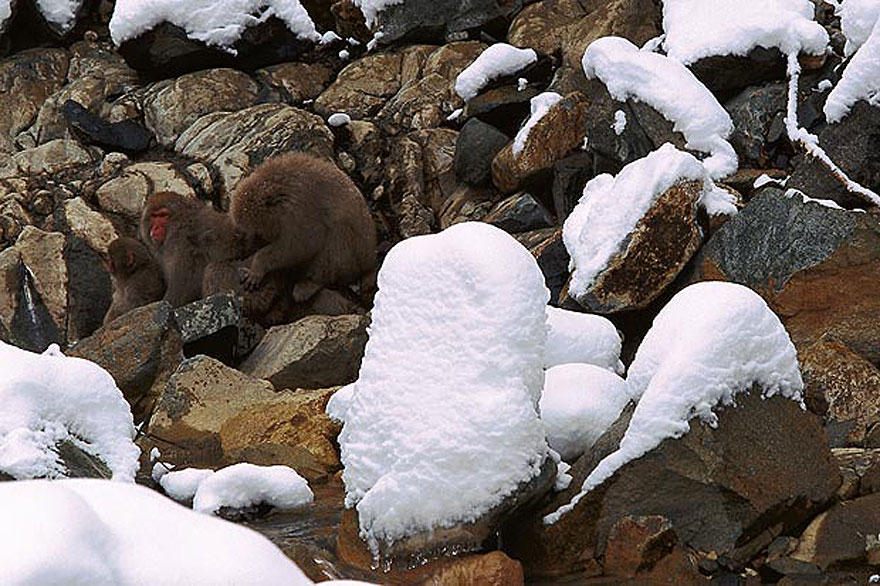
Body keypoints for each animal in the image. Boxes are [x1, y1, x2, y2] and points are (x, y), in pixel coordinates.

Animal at [229, 152, 378, 304]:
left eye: (257, 230)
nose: (248, 244)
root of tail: (371, 261)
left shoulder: (297, 214)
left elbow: (305, 243)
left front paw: (257, 267)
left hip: (351, 258)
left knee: (335, 239)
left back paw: (309, 285)